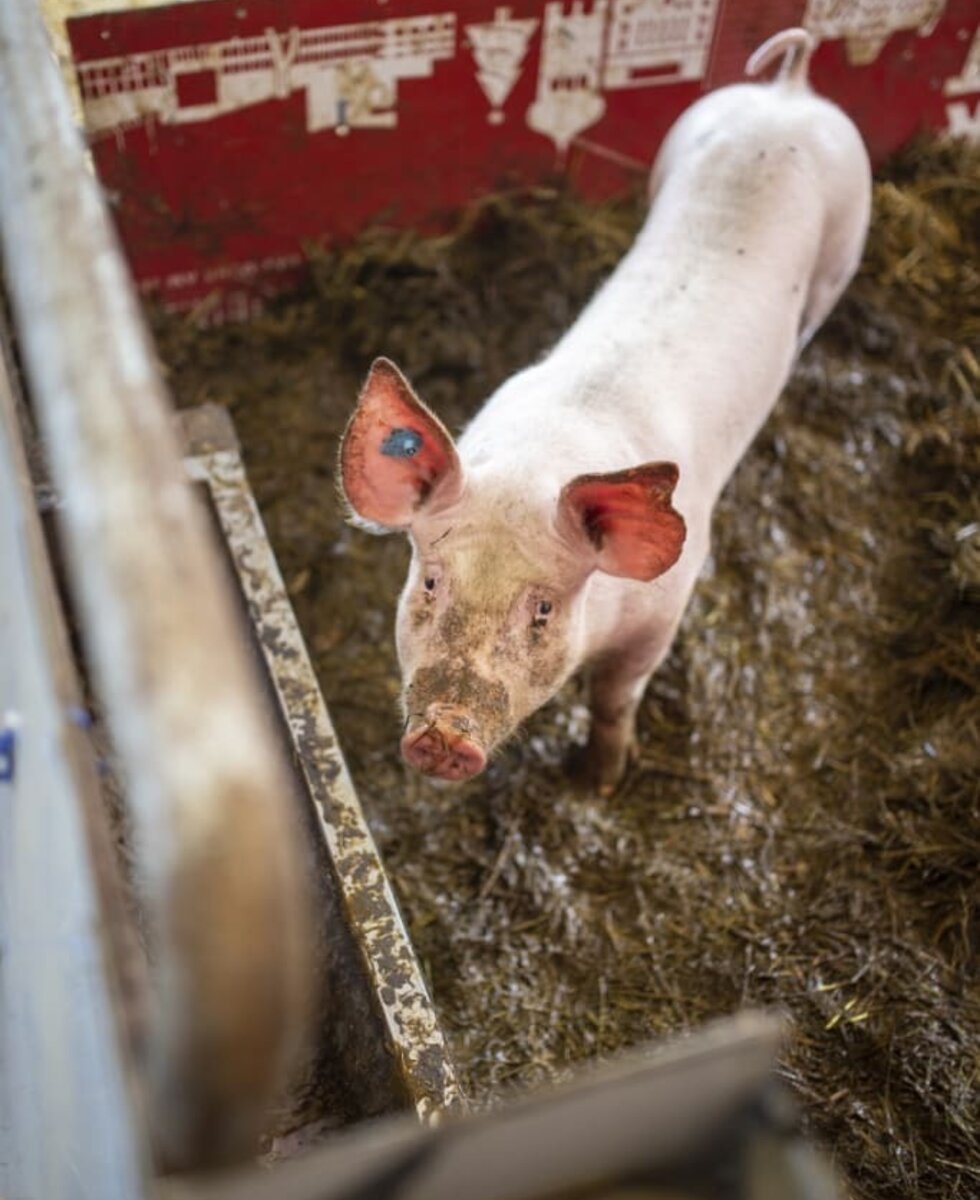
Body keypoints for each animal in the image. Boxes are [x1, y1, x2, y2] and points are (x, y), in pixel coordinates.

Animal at [338, 28, 873, 792]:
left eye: (542, 608)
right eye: (432, 581)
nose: (443, 736)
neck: (538, 460)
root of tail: (789, 92)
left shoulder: (665, 611)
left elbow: (615, 700)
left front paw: (600, 782)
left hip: (847, 240)